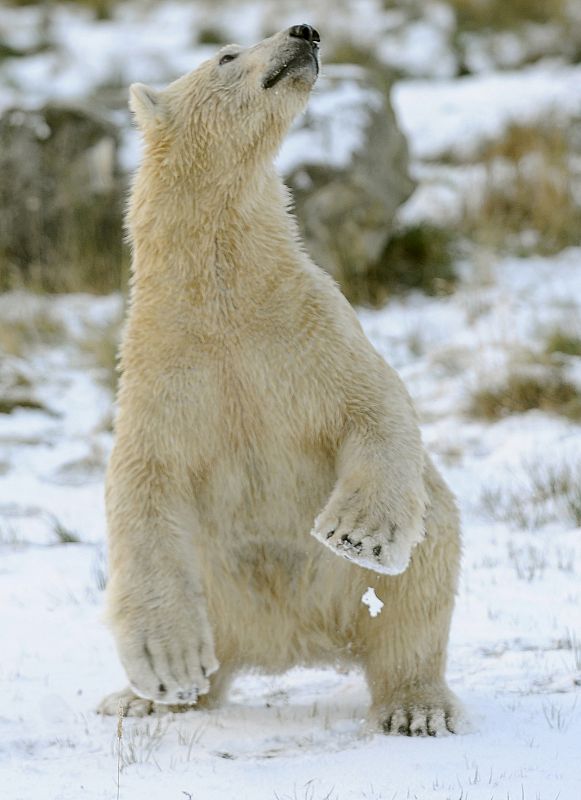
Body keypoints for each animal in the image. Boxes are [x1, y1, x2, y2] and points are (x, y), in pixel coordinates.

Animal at [98, 25, 462, 736]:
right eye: (225, 56)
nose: (305, 31)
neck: (223, 299)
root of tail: (292, 641)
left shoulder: (309, 330)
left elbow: (373, 405)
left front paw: (356, 533)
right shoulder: (162, 370)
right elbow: (143, 485)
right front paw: (168, 665)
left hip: (361, 585)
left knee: (421, 578)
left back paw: (415, 706)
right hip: (219, 590)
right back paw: (142, 698)